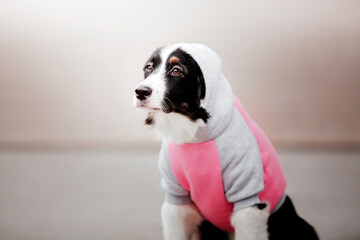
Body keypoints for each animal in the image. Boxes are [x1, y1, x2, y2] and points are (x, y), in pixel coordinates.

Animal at [134, 43, 320, 240]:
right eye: (149, 67)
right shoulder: (176, 198)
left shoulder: (248, 198)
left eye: (176, 70)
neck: (193, 137)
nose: (140, 92)